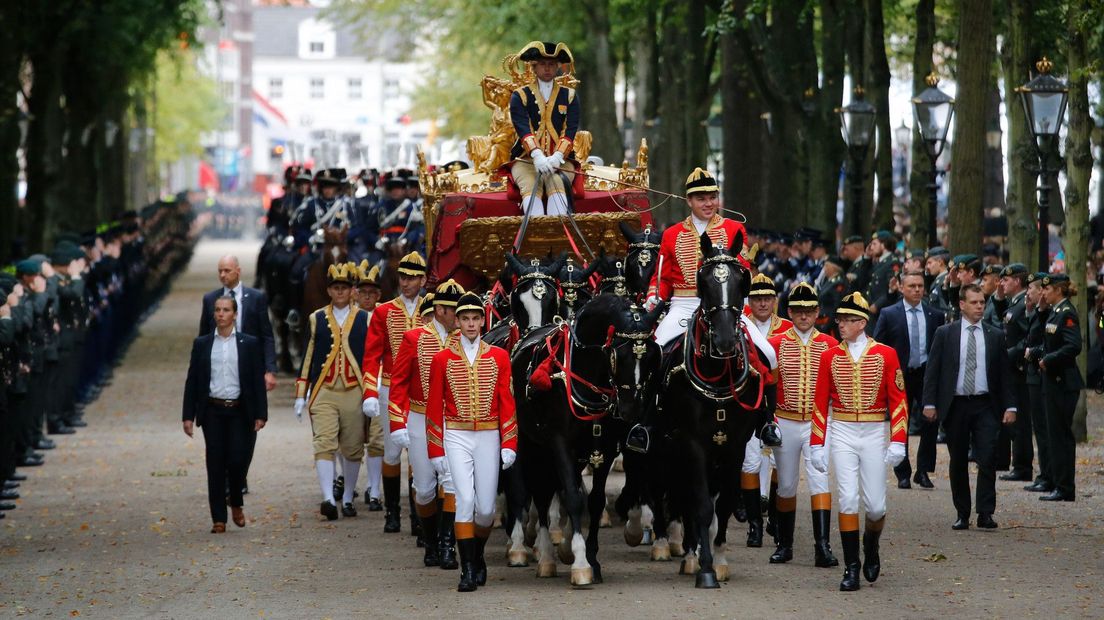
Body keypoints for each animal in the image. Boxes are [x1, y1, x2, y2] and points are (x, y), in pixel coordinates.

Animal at [653, 229, 777, 586]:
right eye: (704, 282)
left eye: (741, 280)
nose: (724, 341)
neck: (718, 375)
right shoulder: (693, 444)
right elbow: (702, 506)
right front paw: (705, 567)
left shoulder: (734, 445)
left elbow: (722, 505)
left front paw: (719, 559)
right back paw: (681, 549)